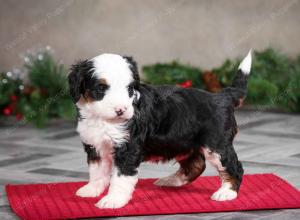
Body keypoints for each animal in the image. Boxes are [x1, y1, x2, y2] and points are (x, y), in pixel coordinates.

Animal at [68, 50, 251, 209]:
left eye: (129, 89)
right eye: (101, 88)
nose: (121, 110)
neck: (103, 120)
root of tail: (222, 96)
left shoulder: (128, 148)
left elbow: (120, 177)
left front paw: (113, 200)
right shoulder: (95, 145)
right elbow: (97, 171)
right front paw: (92, 189)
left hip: (216, 144)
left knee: (234, 166)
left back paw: (227, 192)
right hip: (182, 143)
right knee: (196, 164)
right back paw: (171, 181)